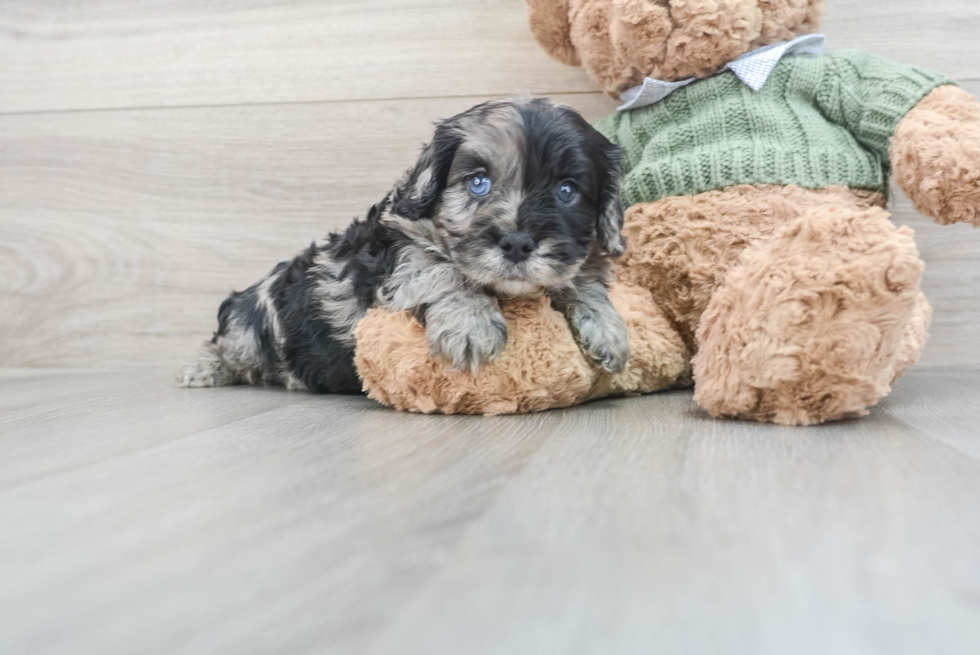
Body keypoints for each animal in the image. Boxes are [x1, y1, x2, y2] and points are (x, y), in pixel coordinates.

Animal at [180, 97, 632, 394]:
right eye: (478, 182)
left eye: (567, 191)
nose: (518, 243)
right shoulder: (394, 257)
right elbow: (437, 266)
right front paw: (471, 324)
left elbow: (583, 277)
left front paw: (607, 329)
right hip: (249, 332)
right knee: (225, 346)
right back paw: (202, 369)